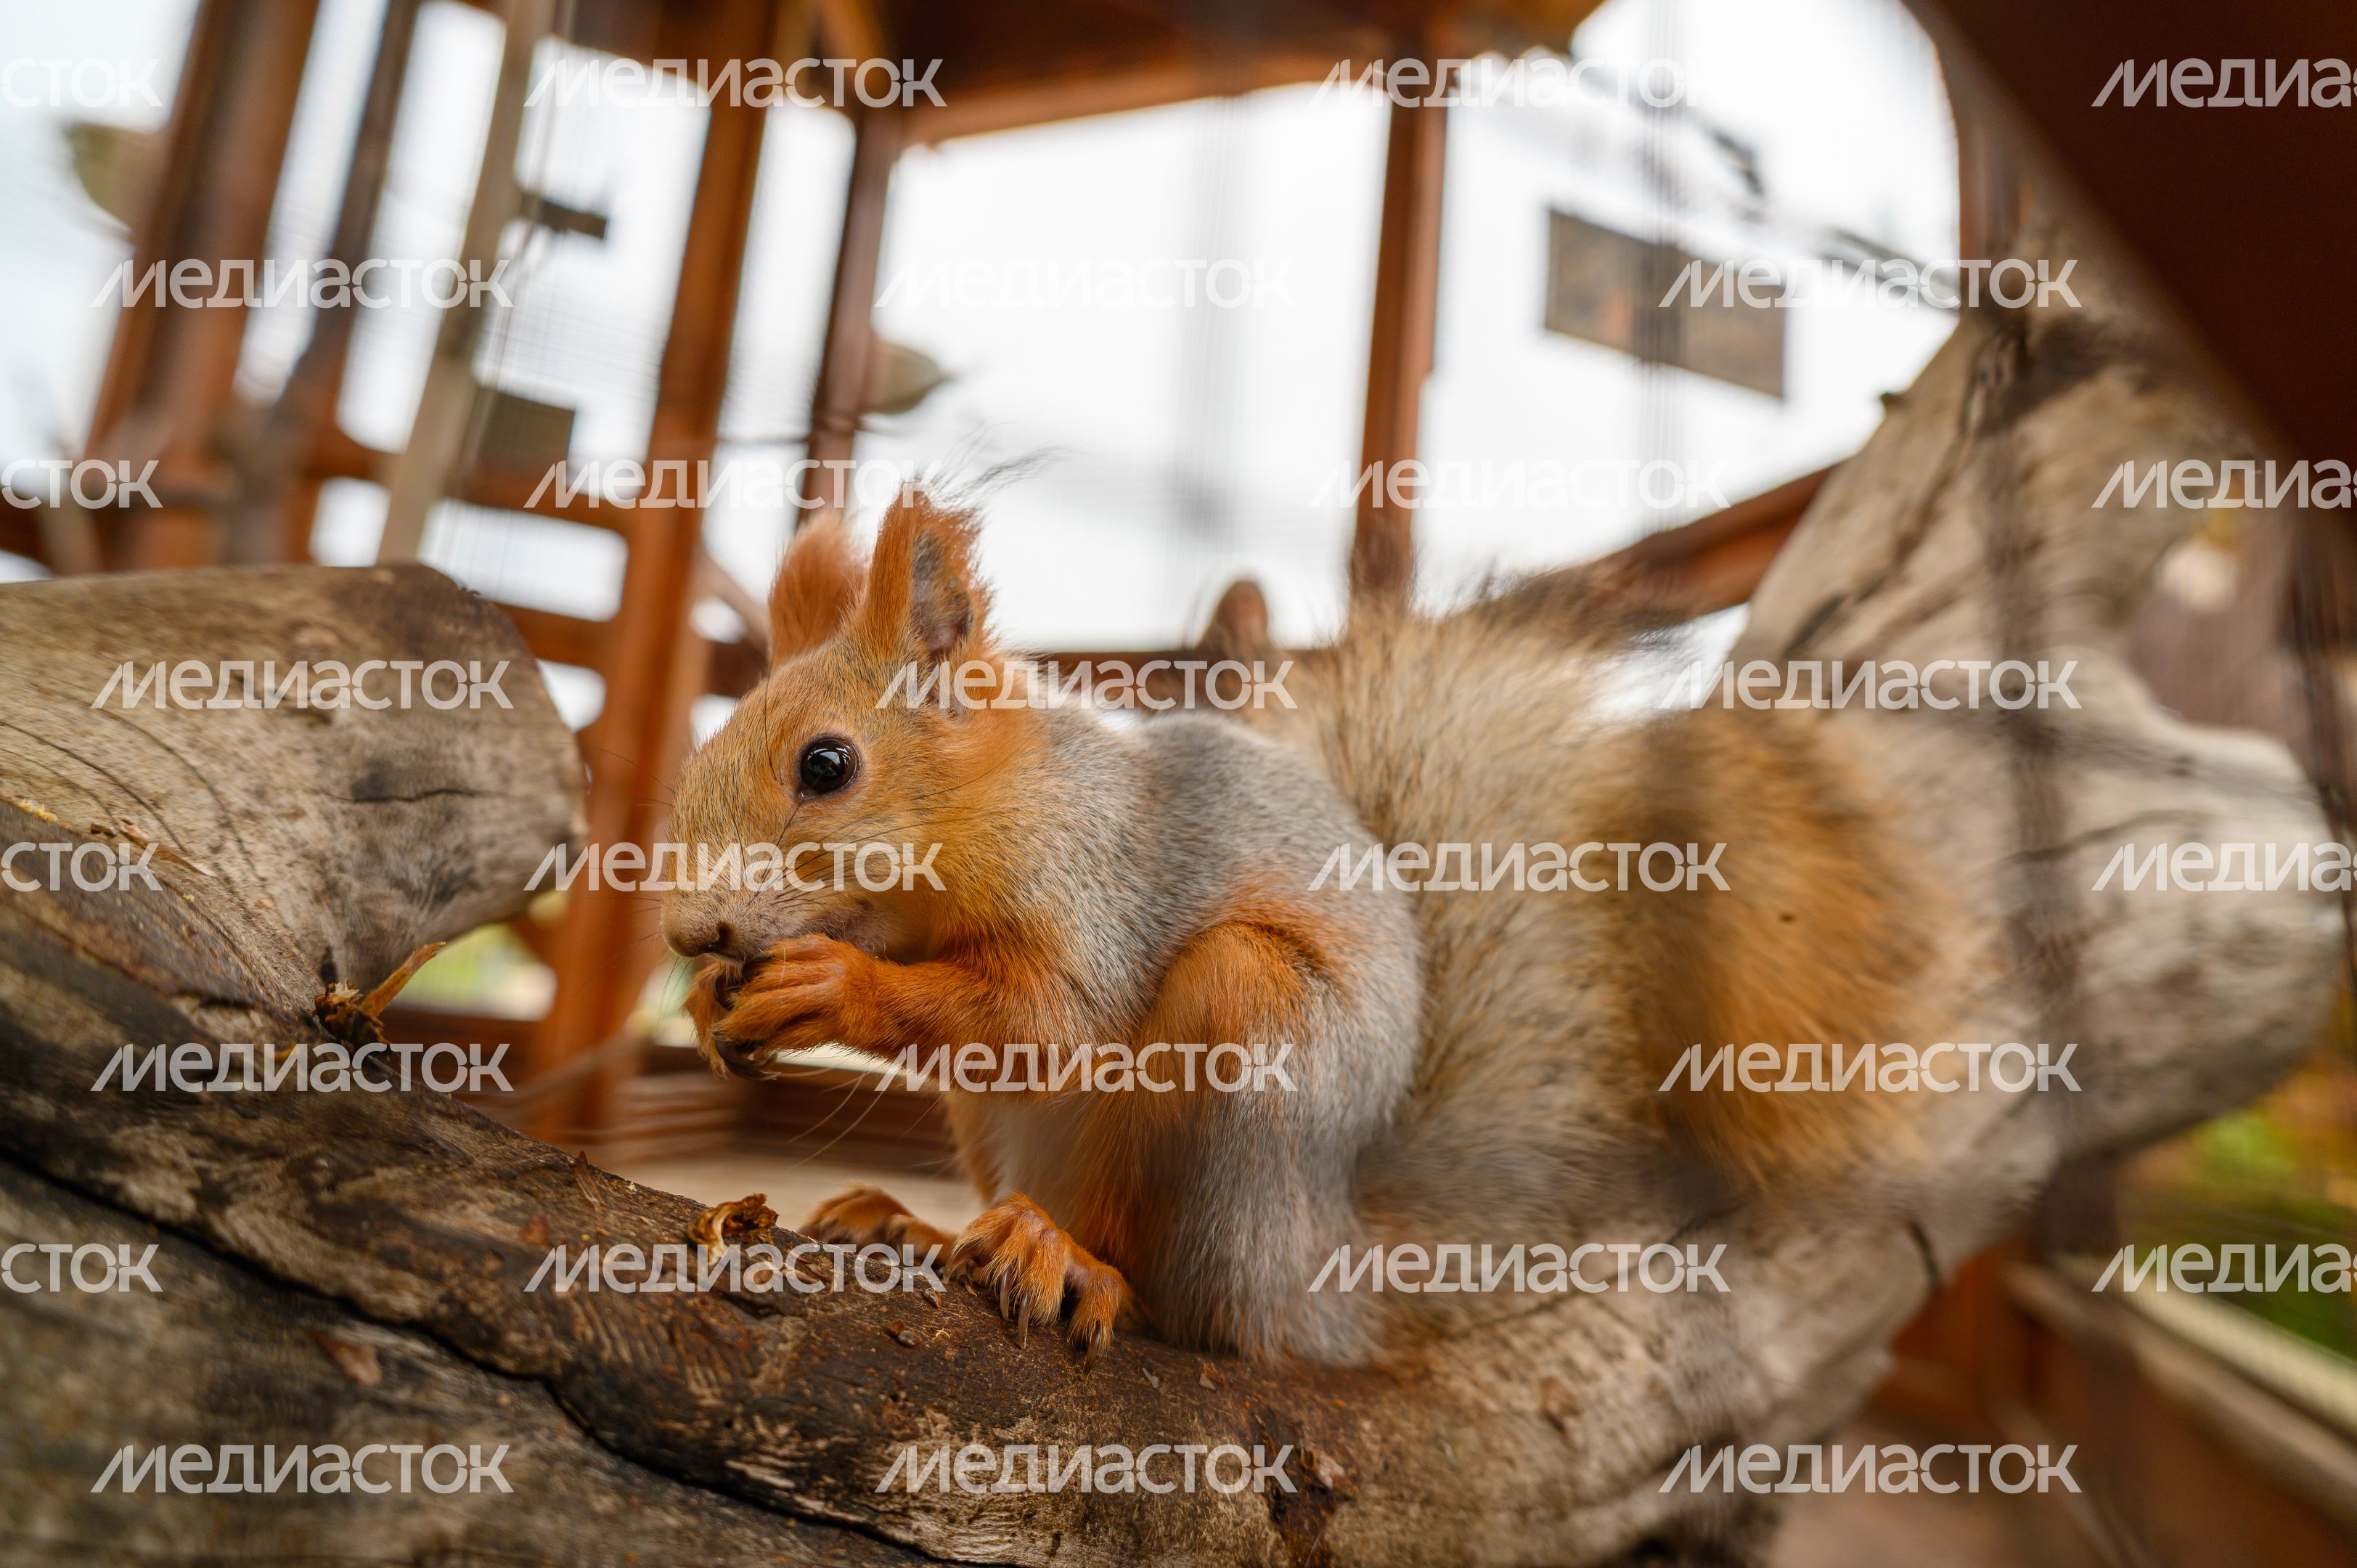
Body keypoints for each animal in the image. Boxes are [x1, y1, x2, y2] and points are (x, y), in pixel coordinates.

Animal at [662, 495, 1949, 1364]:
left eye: (826, 766)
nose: (686, 931)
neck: (992, 811)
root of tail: (1322, 1269)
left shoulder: (1102, 886)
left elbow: (1046, 1023)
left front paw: (832, 987)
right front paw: (713, 1008)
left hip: (1248, 1041)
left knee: (1183, 1301)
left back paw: (1064, 1257)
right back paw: (918, 1227)